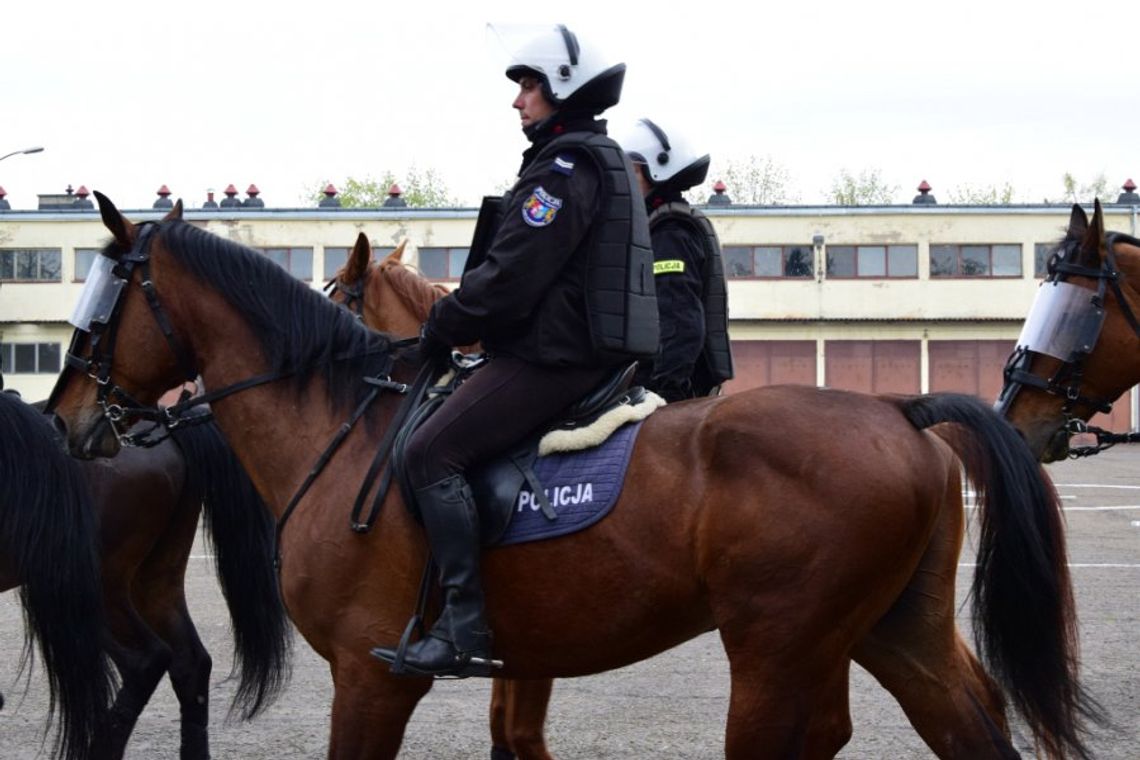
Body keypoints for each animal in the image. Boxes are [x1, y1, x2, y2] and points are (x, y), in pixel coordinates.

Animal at [49, 194, 1098, 760]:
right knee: (970, 728)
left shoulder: (370, 679)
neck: (343, 431)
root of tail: (898, 411)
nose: (63, 418)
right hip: (892, 630)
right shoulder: (516, 666)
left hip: (779, 651)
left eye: (103, 299)